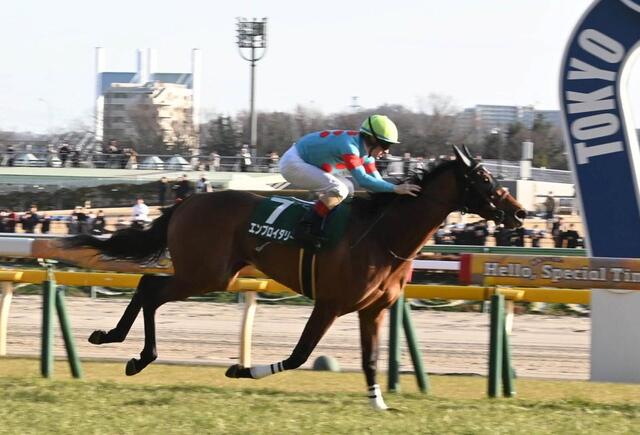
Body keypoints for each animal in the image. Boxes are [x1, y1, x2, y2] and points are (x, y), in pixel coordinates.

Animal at [63, 145, 525, 410]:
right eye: (484, 178)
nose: (518, 212)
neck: (382, 236)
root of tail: (186, 201)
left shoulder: (372, 310)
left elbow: (370, 359)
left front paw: (378, 403)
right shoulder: (330, 304)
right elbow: (301, 354)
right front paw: (240, 371)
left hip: (212, 274)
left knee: (148, 288)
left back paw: (120, 342)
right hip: (205, 273)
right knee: (151, 290)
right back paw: (135, 352)